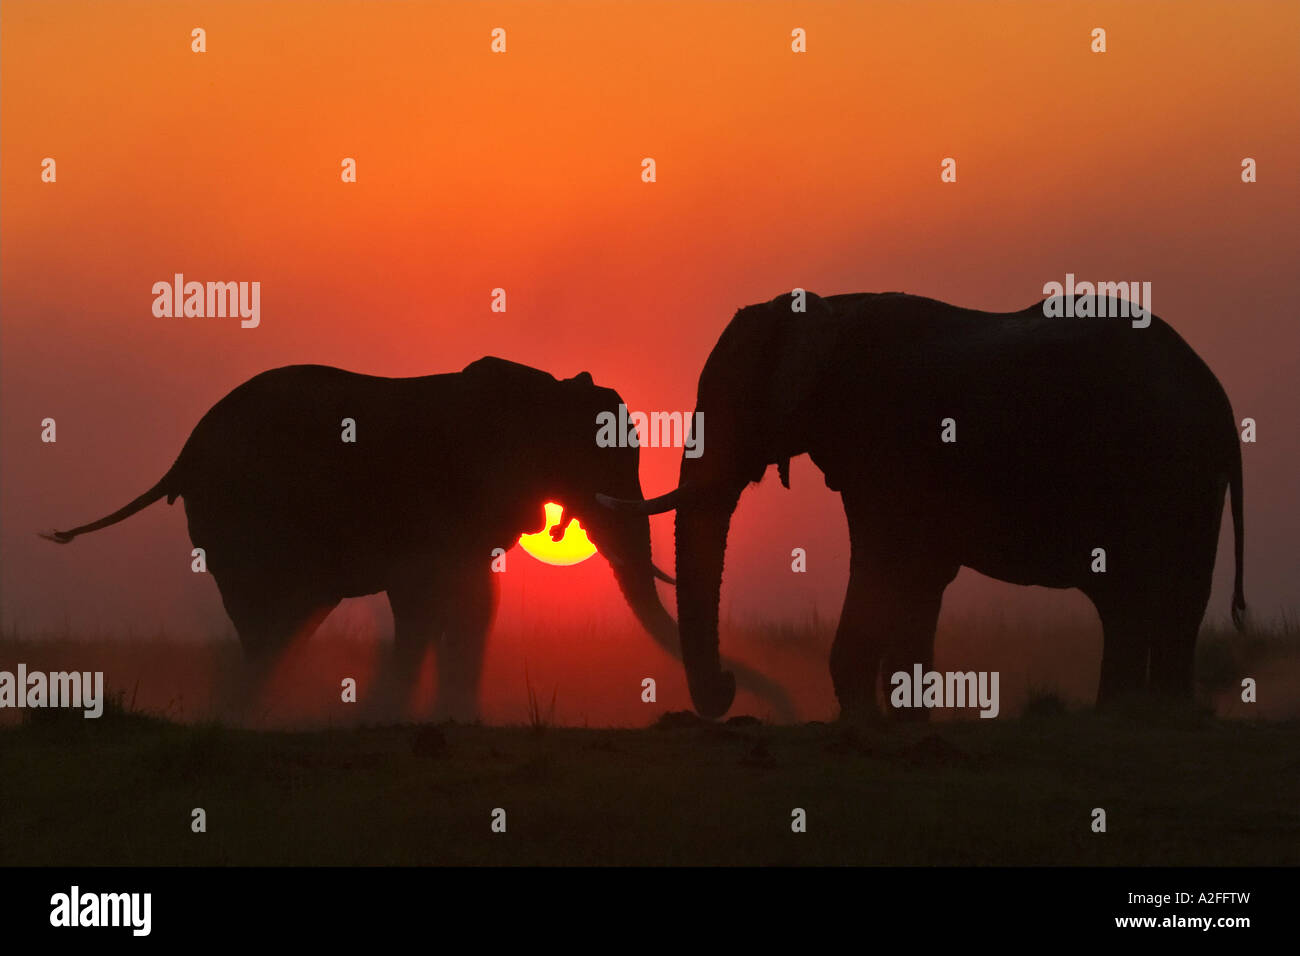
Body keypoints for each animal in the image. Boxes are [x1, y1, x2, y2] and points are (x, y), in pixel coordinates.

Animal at [40, 356, 790, 717]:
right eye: (599, 462)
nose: (739, 693)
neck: (541, 388)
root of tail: (184, 454)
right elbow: (425, 601)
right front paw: (391, 716)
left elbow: (474, 604)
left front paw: (447, 717)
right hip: (245, 513)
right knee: (273, 619)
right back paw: (251, 715)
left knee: (285, 621)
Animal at [613, 291, 1242, 717]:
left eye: (732, 403)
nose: (726, 687)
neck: (824, 310)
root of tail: (1217, 393)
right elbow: (919, 576)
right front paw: (901, 721)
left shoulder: (885, 439)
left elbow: (883, 561)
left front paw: (864, 720)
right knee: (1152, 600)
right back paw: (1151, 715)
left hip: (1162, 468)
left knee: (1145, 595)